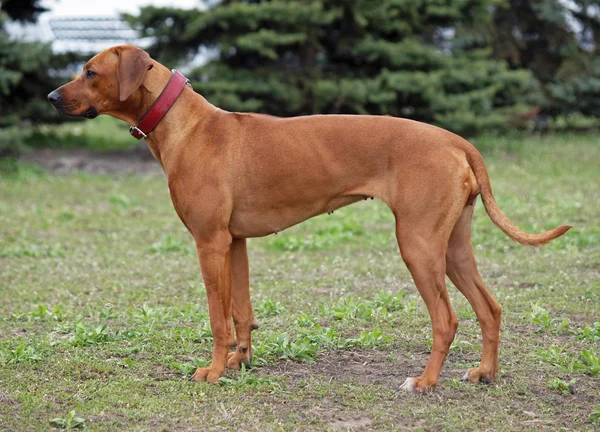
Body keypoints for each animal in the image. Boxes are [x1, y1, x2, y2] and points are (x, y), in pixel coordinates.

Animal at [48, 46, 572, 392]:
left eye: (90, 71)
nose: (51, 97)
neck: (186, 124)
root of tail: (455, 140)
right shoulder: (234, 243)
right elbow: (242, 314)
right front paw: (240, 363)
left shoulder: (209, 242)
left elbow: (218, 318)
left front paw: (213, 372)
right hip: (453, 247)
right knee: (490, 308)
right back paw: (485, 373)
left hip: (418, 245)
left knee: (447, 319)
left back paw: (424, 381)